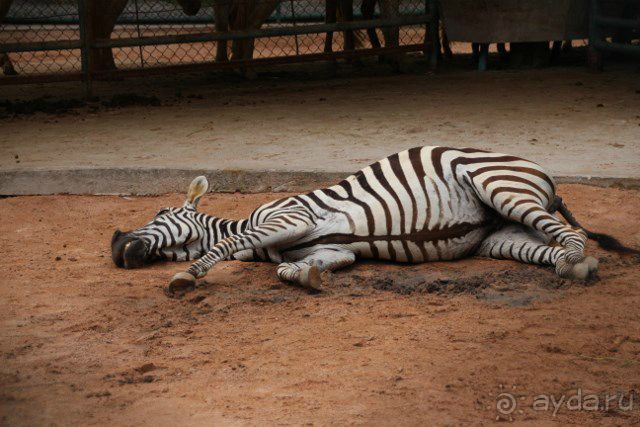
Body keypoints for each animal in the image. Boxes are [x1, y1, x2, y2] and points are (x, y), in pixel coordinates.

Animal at [112, 145, 636, 296]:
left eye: (160, 212)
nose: (116, 244)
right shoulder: (331, 247)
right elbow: (295, 267)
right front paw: (306, 276)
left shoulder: (290, 217)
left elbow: (222, 248)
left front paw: (187, 274)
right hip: (499, 236)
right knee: (548, 243)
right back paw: (575, 267)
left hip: (498, 185)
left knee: (571, 233)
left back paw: (578, 265)